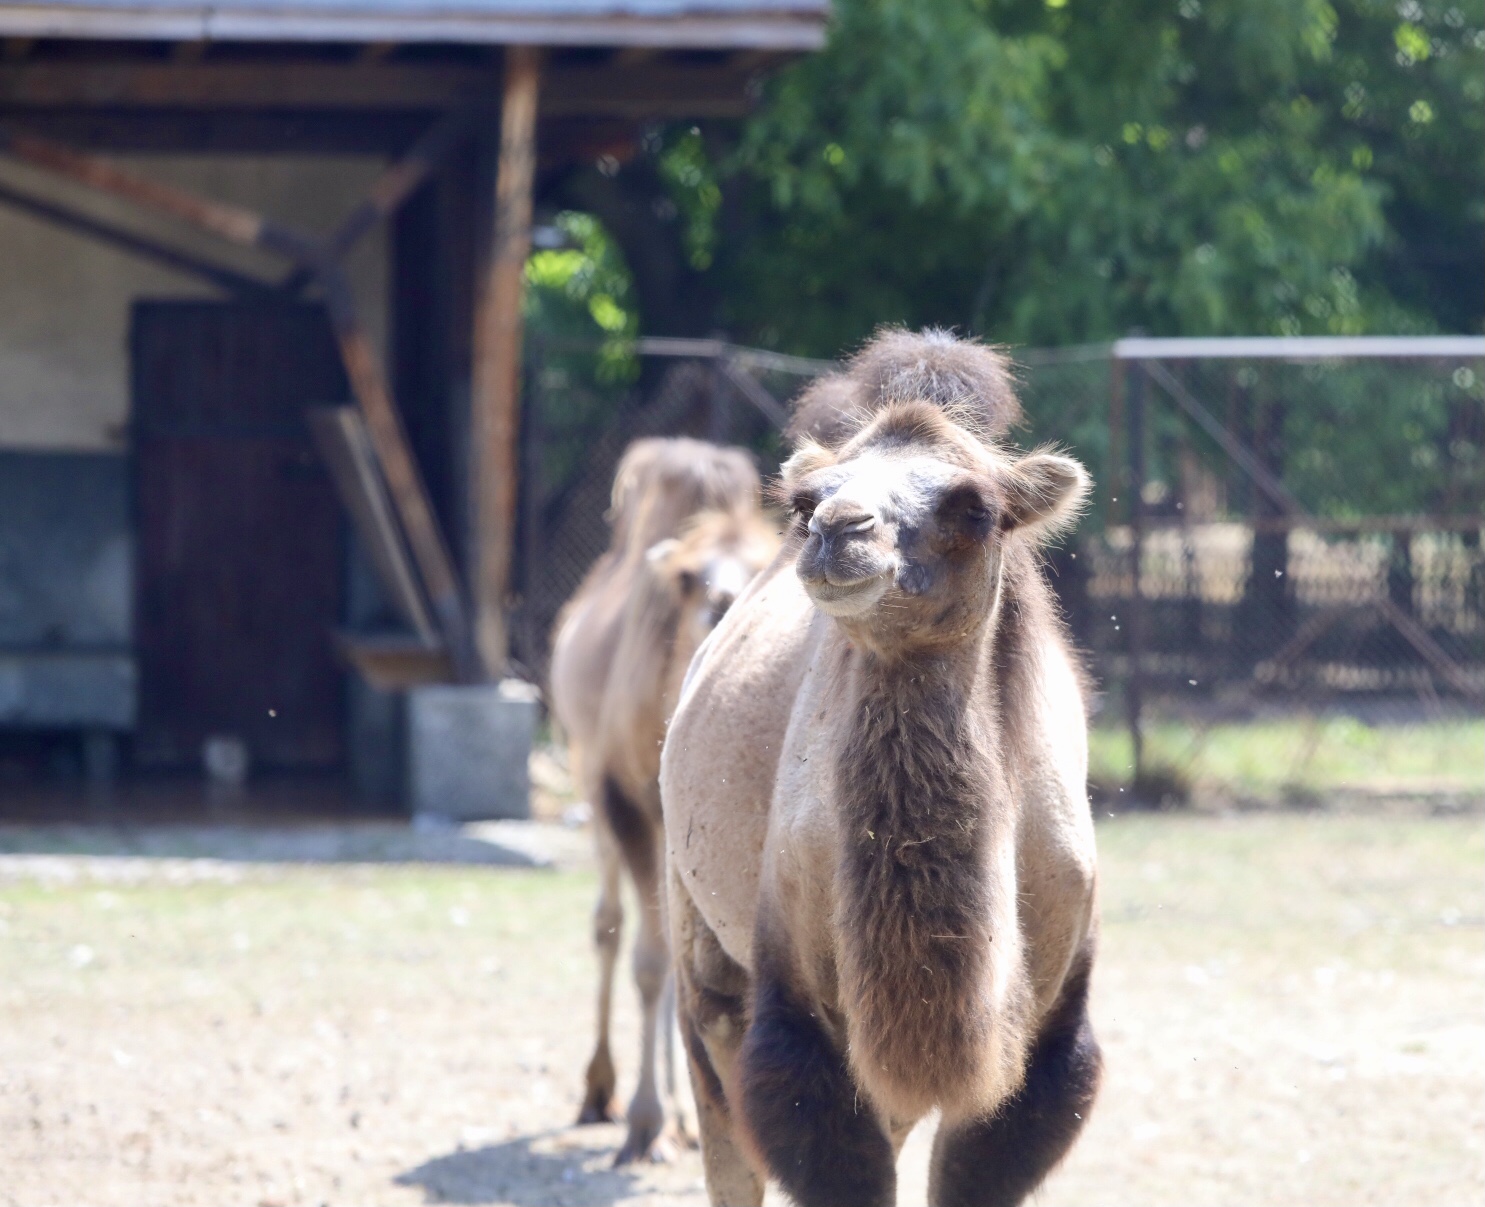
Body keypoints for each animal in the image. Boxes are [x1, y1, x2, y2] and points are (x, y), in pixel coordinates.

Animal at [546, 436, 778, 1163]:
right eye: (688, 577)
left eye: (764, 568)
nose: (724, 601)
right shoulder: (623, 800)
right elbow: (648, 963)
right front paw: (644, 1123)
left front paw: (686, 1119)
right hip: (589, 779)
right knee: (609, 925)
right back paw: (600, 1092)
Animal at [662, 329, 1104, 1205]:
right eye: (807, 501)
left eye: (972, 507)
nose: (838, 528)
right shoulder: (798, 1004)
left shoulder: (1043, 1039)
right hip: (702, 939)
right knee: (723, 1104)